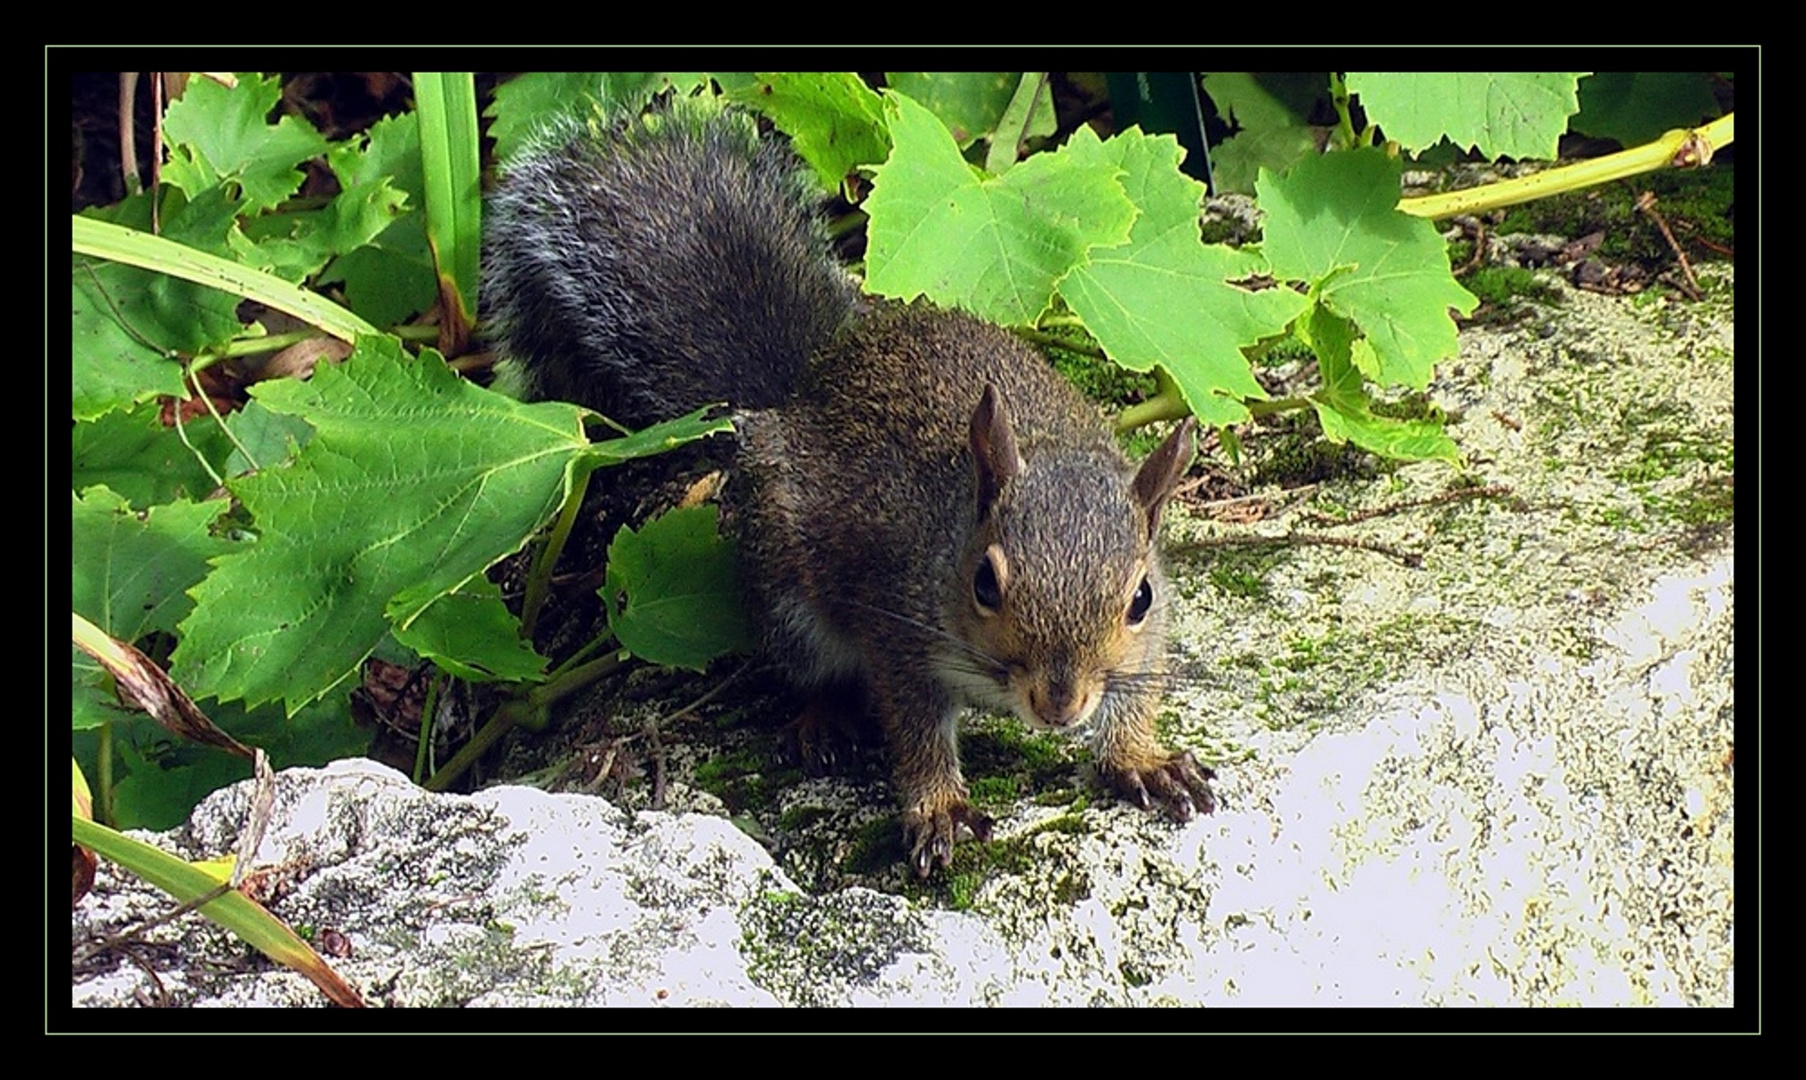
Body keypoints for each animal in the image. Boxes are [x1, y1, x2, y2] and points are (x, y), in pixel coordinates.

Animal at [484, 97, 1213, 881]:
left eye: (1141, 598)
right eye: (985, 583)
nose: (1060, 703)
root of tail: (802, 383)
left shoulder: (1147, 646)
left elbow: (1139, 696)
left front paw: (1142, 759)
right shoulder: (899, 630)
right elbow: (916, 730)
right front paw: (938, 807)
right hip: (786, 590)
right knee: (811, 669)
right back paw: (825, 718)